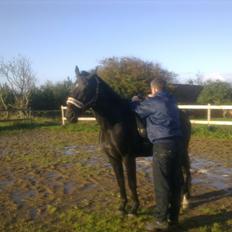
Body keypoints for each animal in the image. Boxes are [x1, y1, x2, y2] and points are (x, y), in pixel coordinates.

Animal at [65, 66, 192, 215]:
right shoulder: (113, 158)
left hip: (182, 152)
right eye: (73, 86)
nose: (69, 115)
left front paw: (134, 208)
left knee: (186, 172)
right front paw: (122, 207)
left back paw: (185, 201)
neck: (112, 124)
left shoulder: (128, 157)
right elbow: (120, 181)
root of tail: (183, 115)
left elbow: (131, 182)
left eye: (86, 87)